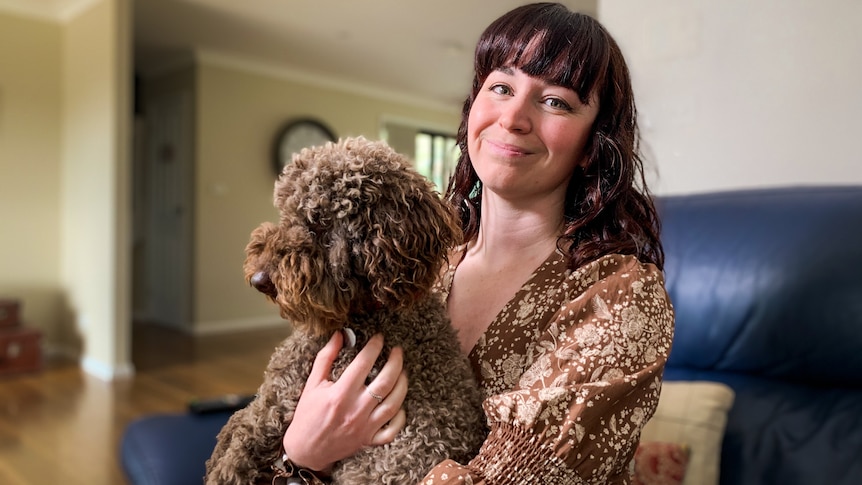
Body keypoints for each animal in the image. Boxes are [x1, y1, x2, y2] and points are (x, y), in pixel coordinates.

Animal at [202, 136, 486, 484]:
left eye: (318, 221)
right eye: (286, 213)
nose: (259, 280)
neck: (370, 311)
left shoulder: (280, 400)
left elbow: (235, 454)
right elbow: (232, 426)